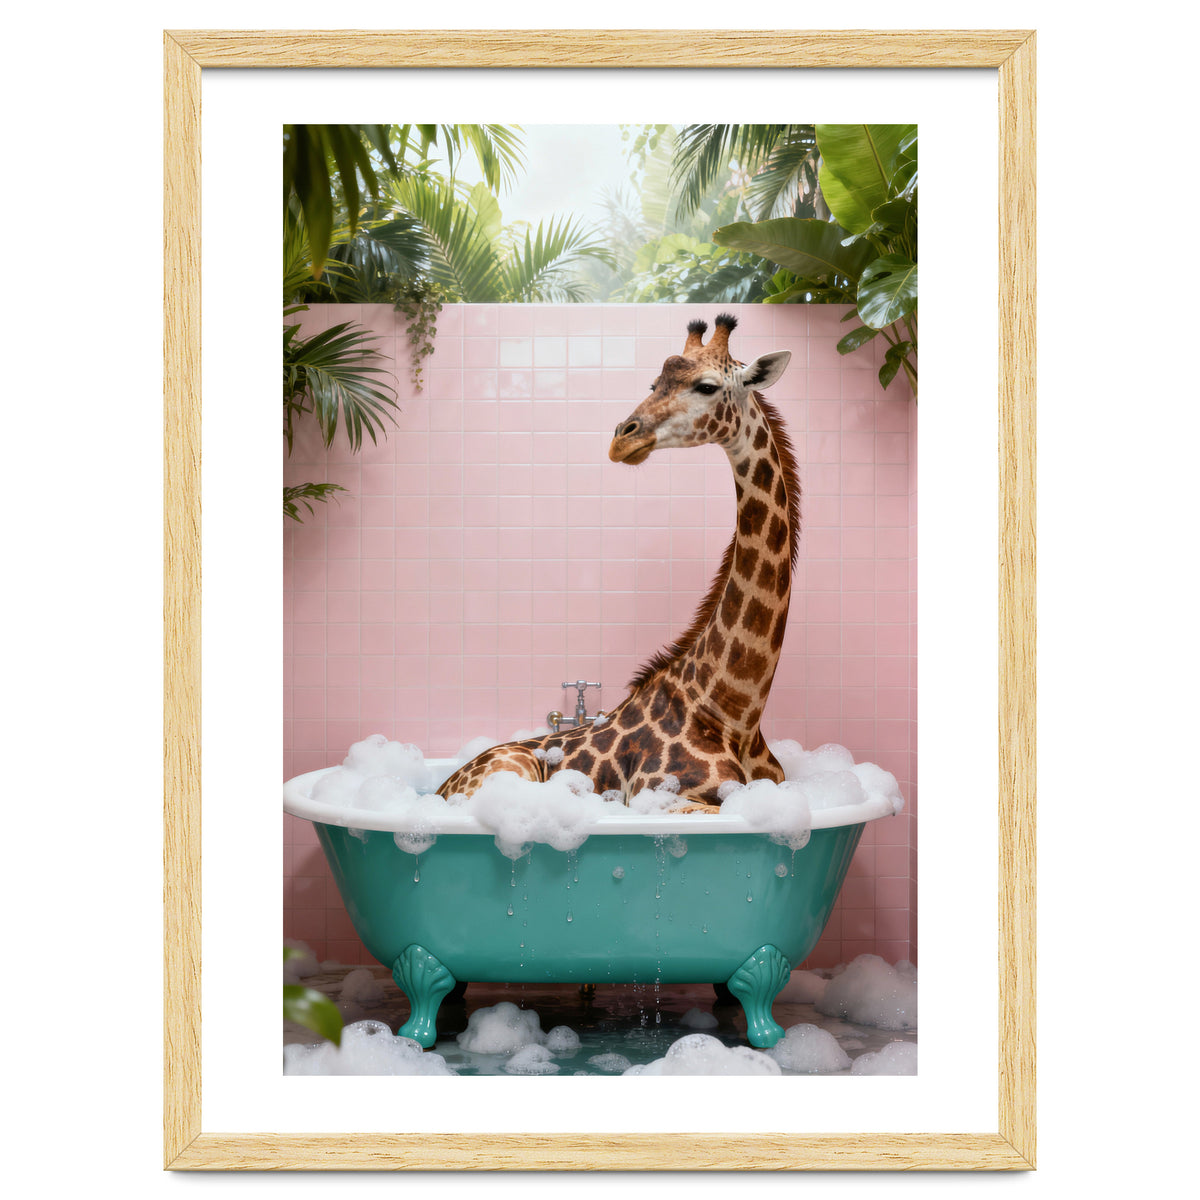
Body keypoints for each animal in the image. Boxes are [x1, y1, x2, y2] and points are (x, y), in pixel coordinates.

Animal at [437, 313, 798, 811]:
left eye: (706, 386)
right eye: (653, 383)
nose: (622, 439)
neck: (735, 712)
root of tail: (440, 788)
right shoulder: (660, 796)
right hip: (512, 770)